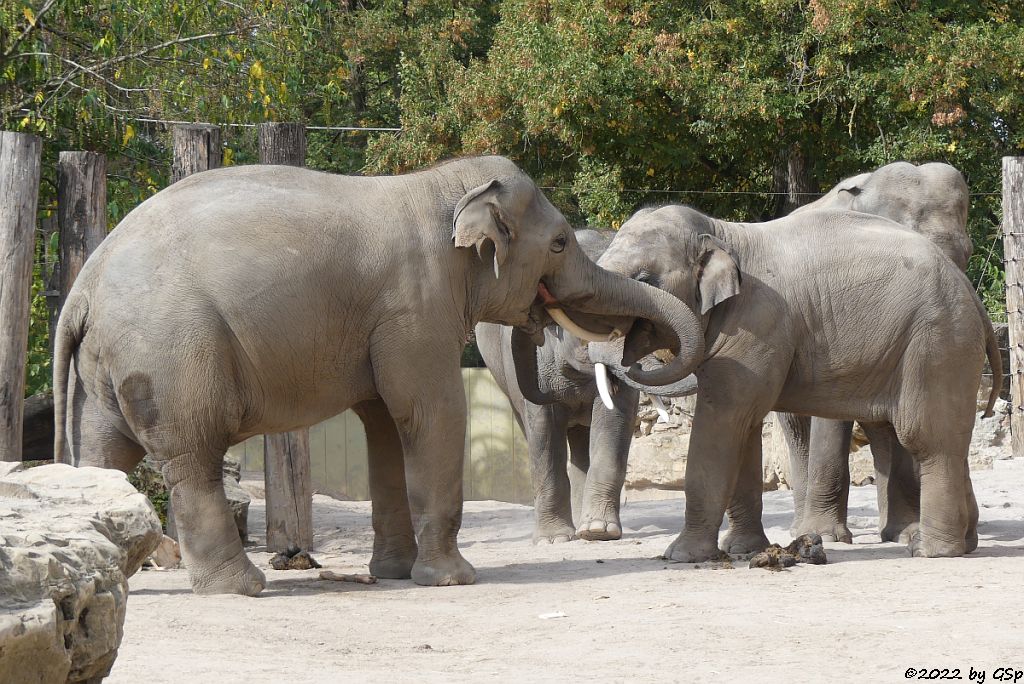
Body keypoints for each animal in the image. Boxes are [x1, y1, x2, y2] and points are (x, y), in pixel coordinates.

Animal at [49, 154, 704, 593]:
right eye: (563, 242)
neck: (443, 184)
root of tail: (83, 285)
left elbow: (385, 425)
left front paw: (392, 573)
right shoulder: (414, 306)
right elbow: (434, 412)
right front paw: (452, 579)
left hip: (105, 368)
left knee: (102, 455)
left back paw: (117, 581)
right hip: (172, 353)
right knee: (192, 458)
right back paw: (243, 587)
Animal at [593, 201, 999, 561]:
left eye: (645, 281)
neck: (723, 232)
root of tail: (971, 293)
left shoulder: (759, 325)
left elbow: (724, 419)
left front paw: (681, 556)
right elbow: (743, 426)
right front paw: (742, 550)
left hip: (937, 340)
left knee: (927, 438)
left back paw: (931, 551)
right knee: (949, 438)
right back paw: (966, 543)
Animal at [778, 161, 970, 544]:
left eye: (968, 255)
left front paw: (911, 533)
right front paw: (828, 536)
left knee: (883, 427)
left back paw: (897, 531)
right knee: (798, 431)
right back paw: (801, 532)